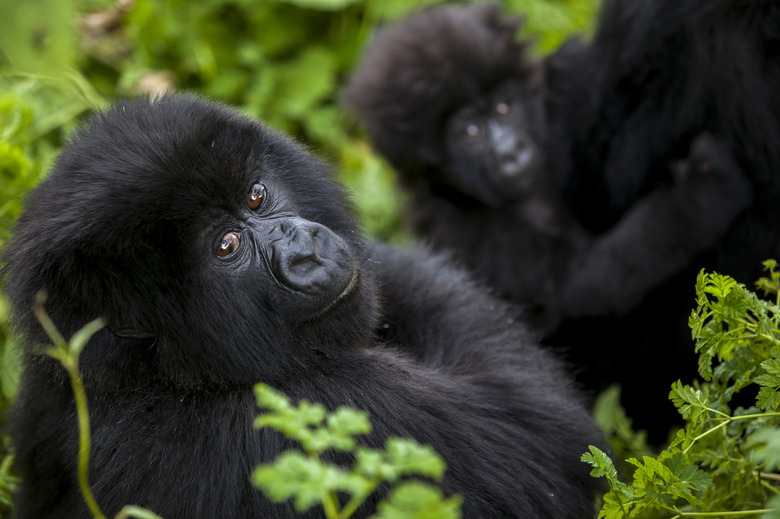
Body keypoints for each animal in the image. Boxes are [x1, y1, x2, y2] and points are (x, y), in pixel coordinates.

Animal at [1, 94, 604, 519]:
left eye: (255, 196)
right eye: (226, 246)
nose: (305, 250)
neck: (145, 375)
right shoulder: (332, 412)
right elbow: (541, 438)